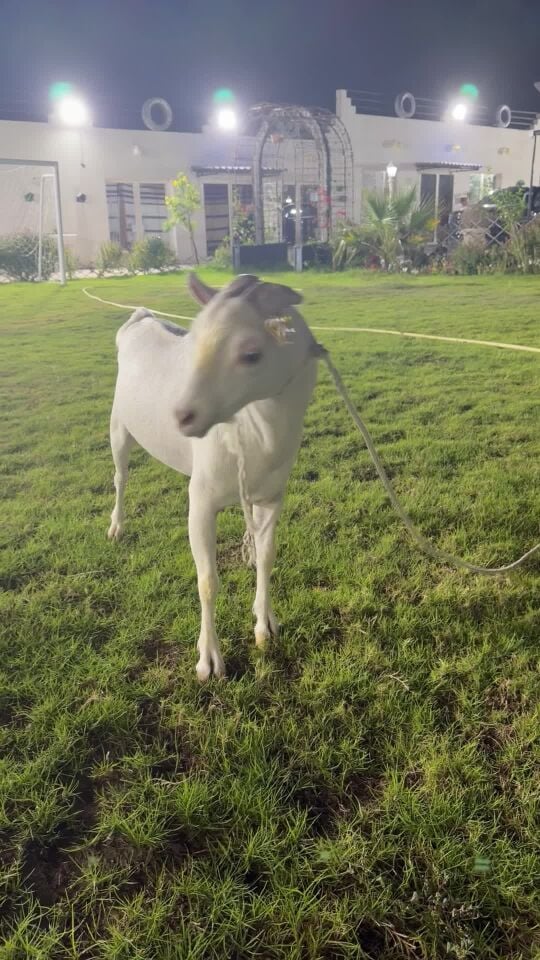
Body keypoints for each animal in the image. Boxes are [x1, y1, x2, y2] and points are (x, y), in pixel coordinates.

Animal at [109, 273, 322, 679]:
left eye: (251, 354)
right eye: (195, 341)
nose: (181, 415)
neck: (261, 434)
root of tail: (141, 317)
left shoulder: (273, 494)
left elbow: (268, 555)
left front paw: (265, 626)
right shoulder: (203, 502)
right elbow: (207, 580)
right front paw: (209, 661)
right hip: (118, 425)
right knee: (120, 476)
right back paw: (116, 526)